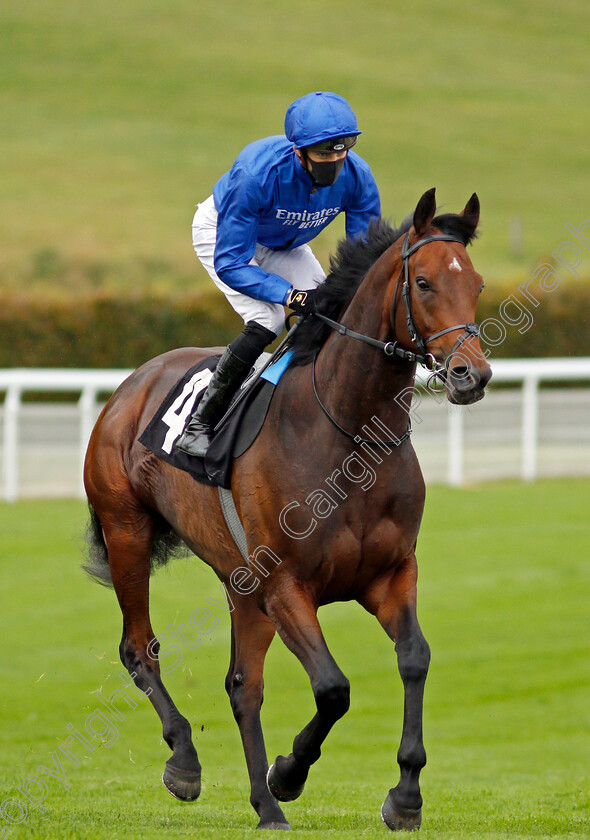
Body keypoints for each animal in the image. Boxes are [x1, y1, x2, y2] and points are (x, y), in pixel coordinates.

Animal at [82, 187, 490, 832]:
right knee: (138, 647)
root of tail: (131, 385)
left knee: (242, 685)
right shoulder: (287, 585)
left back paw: (265, 806)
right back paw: (187, 761)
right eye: (424, 283)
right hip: (128, 531)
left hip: (241, 584)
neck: (348, 432)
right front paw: (290, 772)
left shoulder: (390, 573)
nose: (471, 373)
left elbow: (415, 659)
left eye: (475, 283)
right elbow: (333, 688)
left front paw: (405, 795)